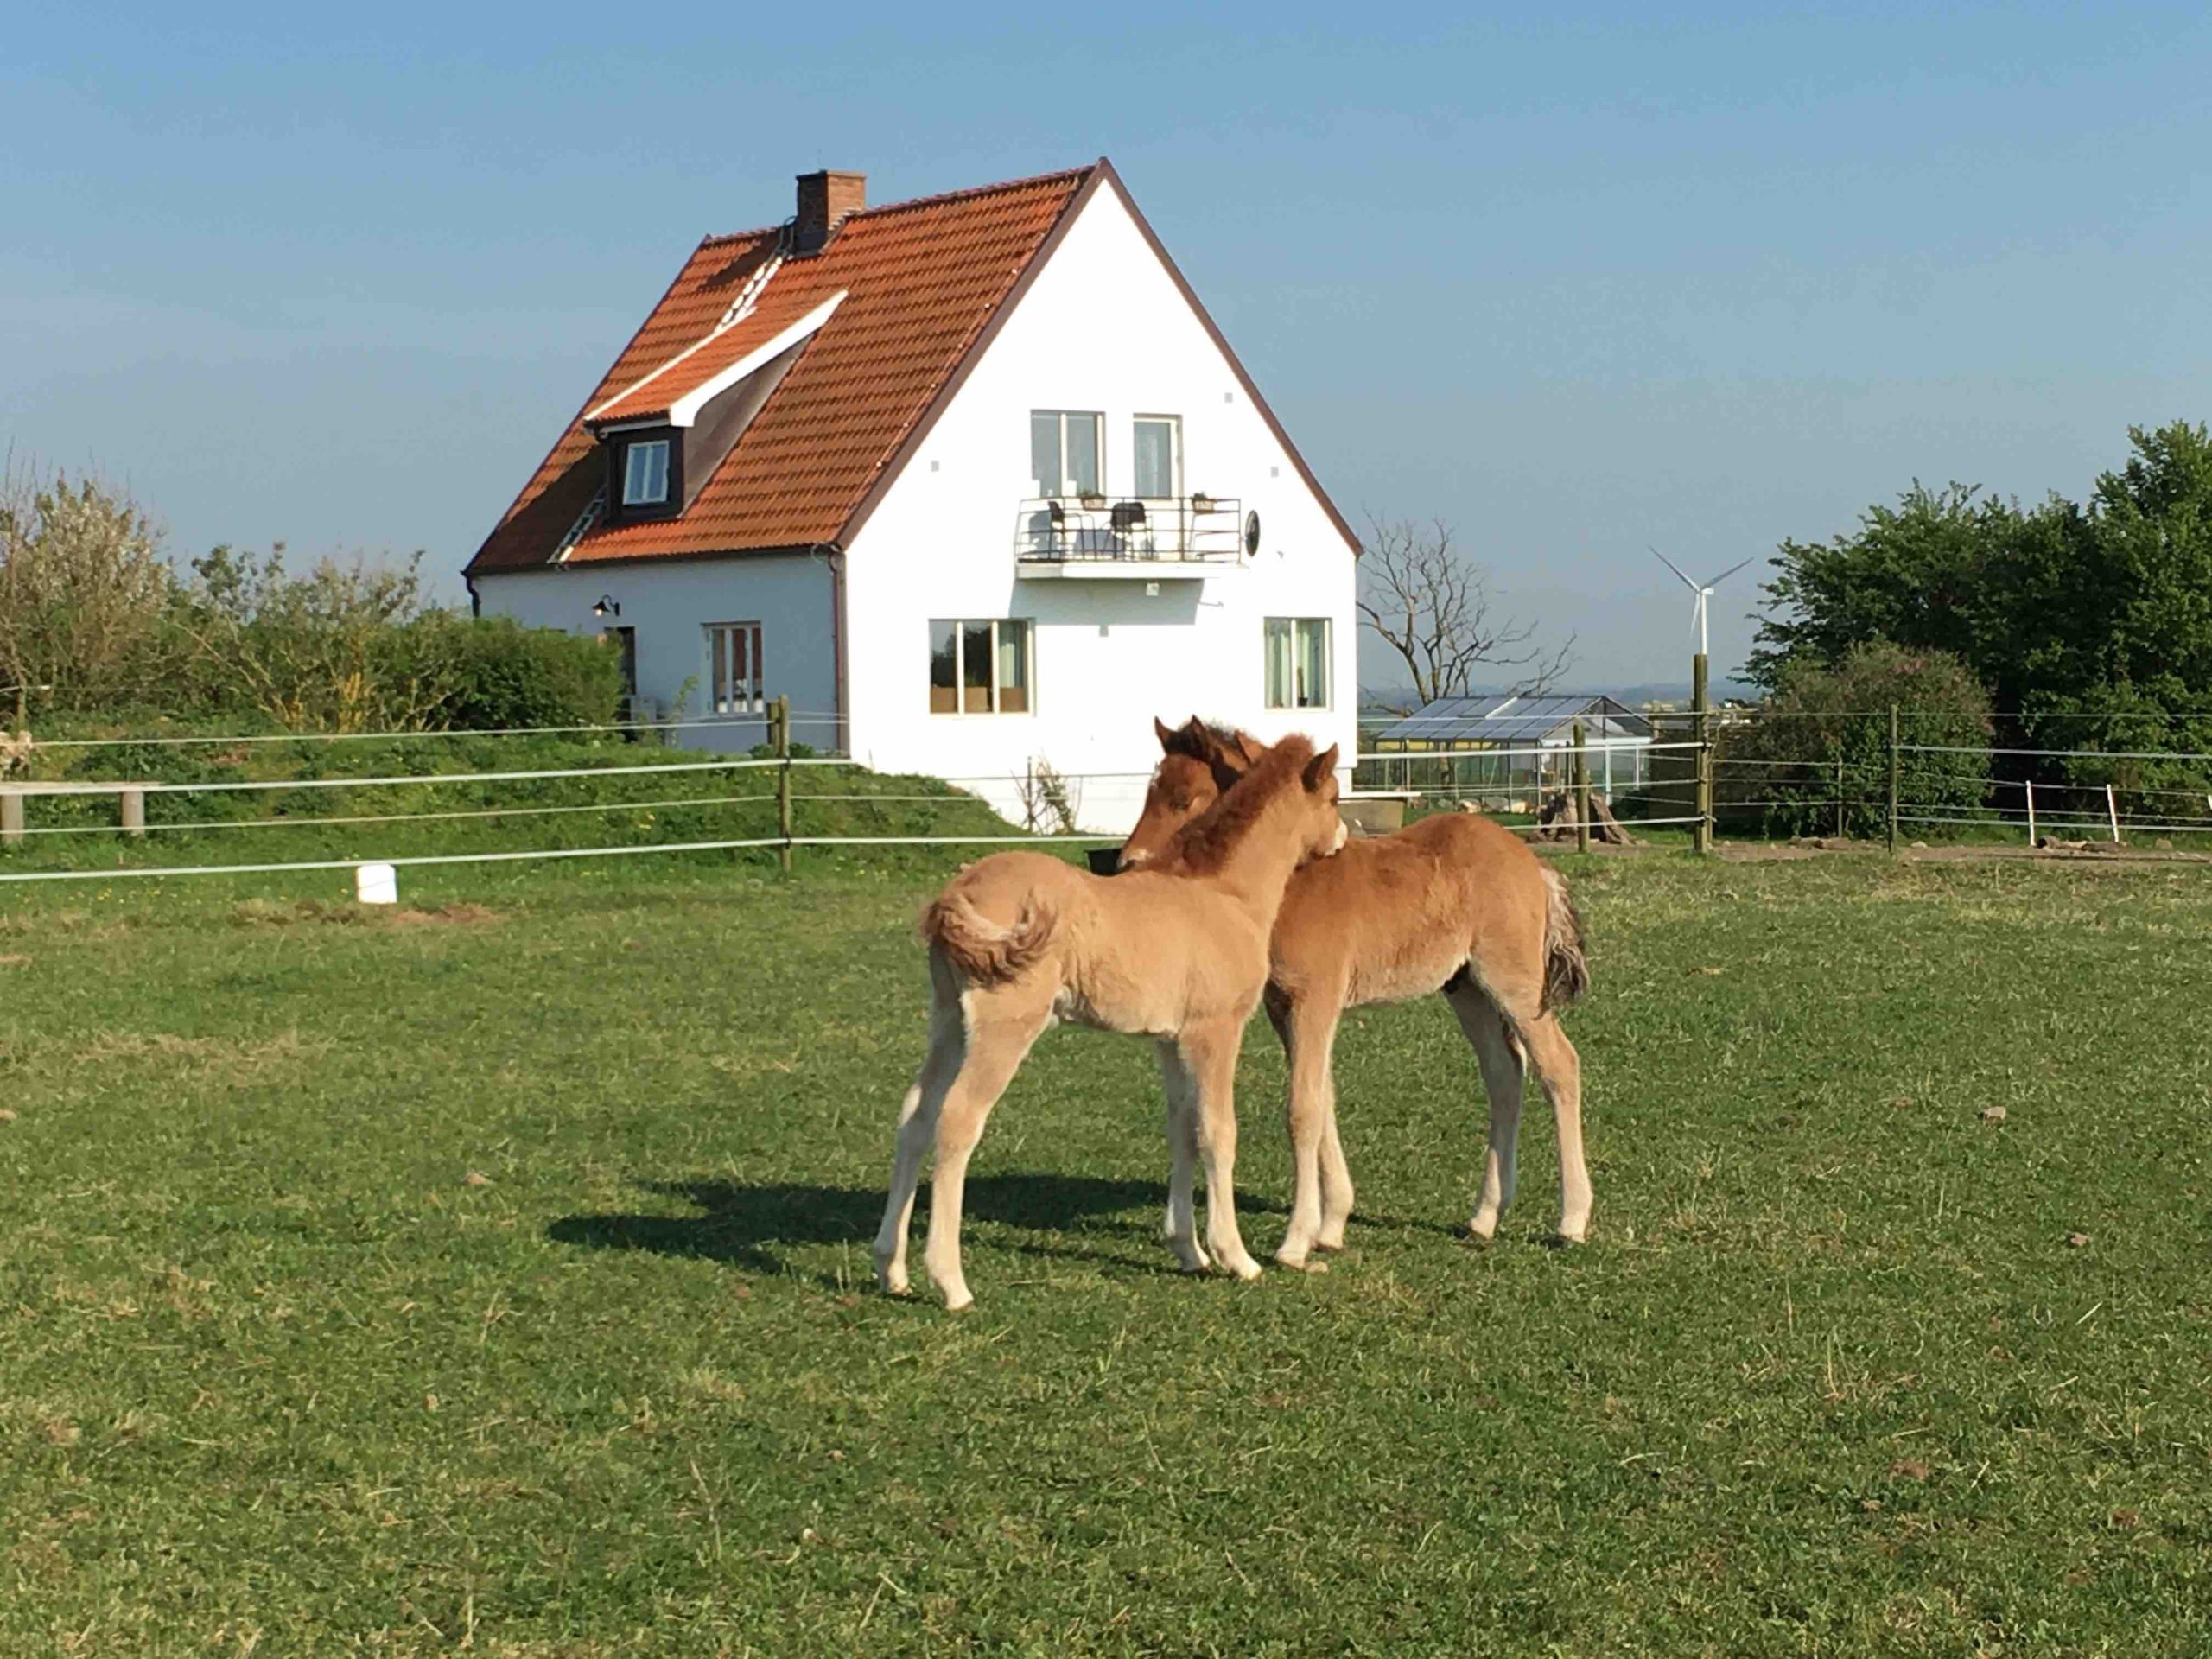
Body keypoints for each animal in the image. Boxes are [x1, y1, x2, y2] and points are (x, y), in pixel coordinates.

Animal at [871, 734, 1336, 1309]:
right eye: (1334, 798)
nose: (1341, 838)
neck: (1225, 895)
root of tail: (957, 895)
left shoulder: (1169, 1040)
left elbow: (1182, 1128)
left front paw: (1188, 1251)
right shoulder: (1214, 1031)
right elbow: (1217, 1131)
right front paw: (1235, 1257)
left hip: (950, 1022)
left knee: (915, 1116)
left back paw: (891, 1267)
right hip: (1004, 1028)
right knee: (956, 1121)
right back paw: (951, 1282)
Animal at [1123, 716, 1592, 1274]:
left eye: (1185, 798)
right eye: (1150, 790)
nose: (1127, 864)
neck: (1291, 884)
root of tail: (1532, 863)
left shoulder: (1315, 1000)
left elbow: (1302, 1109)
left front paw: (1296, 1241)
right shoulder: (1283, 1007)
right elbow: (1322, 1099)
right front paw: (1330, 1226)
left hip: (1514, 983)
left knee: (1559, 1066)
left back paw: (1572, 1220)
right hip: (1467, 989)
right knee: (1504, 1074)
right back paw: (1484, 1216)